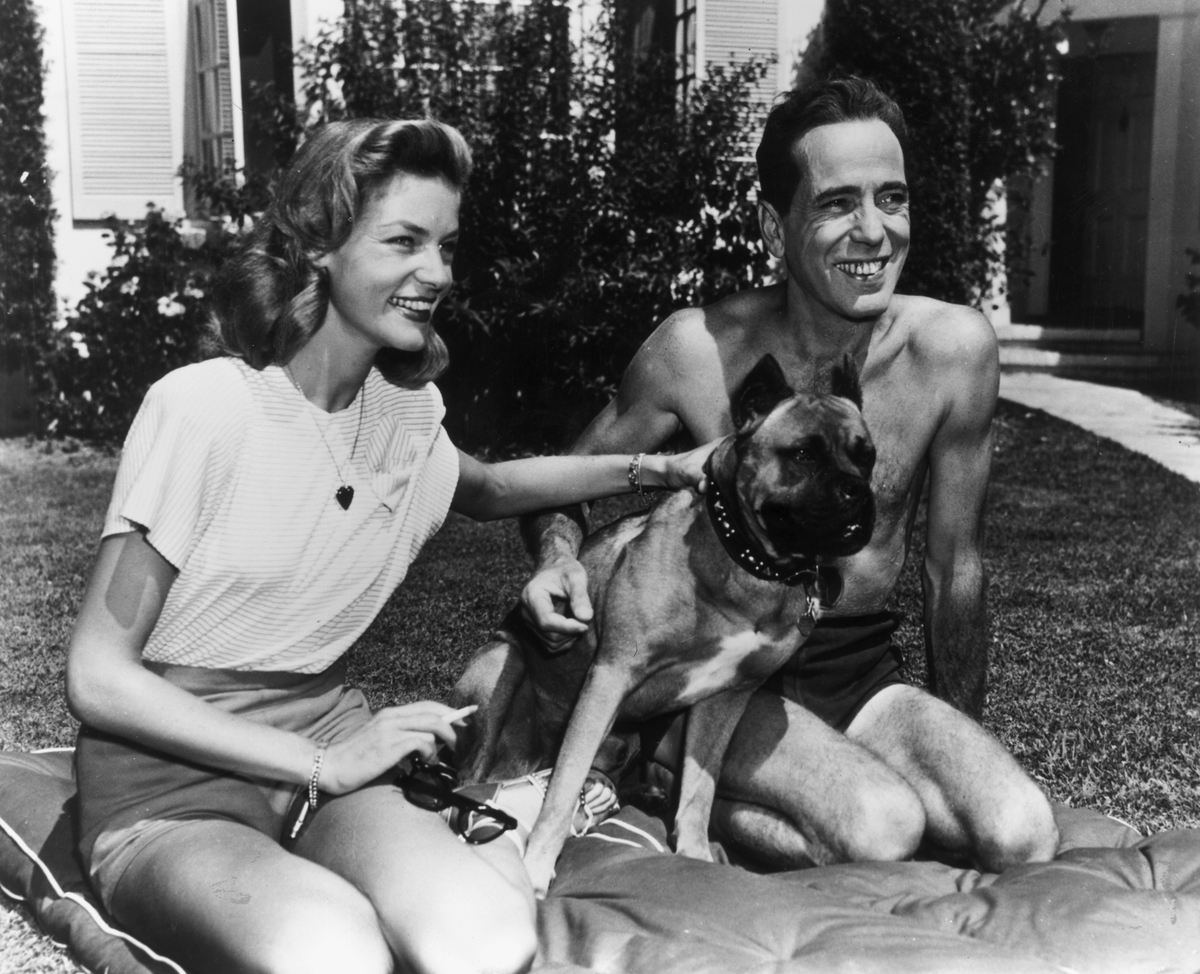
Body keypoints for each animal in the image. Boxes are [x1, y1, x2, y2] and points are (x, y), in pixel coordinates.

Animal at [451, 352, 873, 892]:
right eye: (802, 454)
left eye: (867, 457)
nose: (857, 493)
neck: (750, 561)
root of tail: (524, 760)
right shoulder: (611, 676)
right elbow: (562, 789)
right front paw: (539, 866)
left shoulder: (725, 698)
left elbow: (699, 790)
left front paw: (694, 854)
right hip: (500, 667)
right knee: (477, 777)